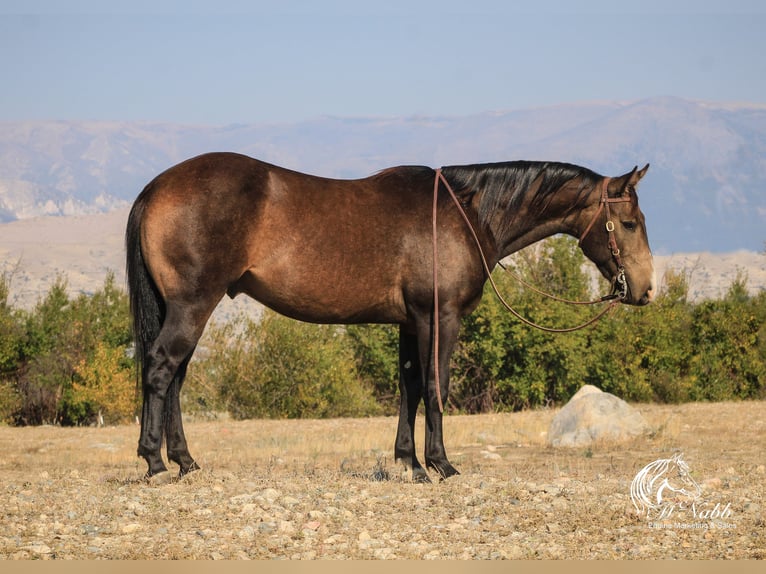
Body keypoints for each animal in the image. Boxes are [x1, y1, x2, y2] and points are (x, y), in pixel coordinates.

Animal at [124, 153, 656, 482]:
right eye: (629, 223)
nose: (646, 289)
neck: (464, 214)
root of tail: (156, 187)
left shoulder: (409, 321)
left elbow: (411, 387)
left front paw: (410, 463)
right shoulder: (440, 317)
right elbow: (437, 386)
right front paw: (441, 465)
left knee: (175, 377)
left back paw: (185, 461)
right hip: (193, 304)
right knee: (161, 369)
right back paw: (155, 462)